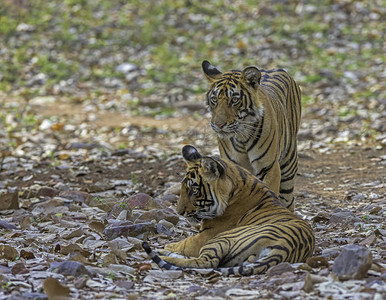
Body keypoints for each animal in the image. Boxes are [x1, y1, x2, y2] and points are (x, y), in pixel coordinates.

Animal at [143, 145, 316, 276]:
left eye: (194, 190)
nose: (179, 213)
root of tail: (284, 247)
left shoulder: (205, 236)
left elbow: (183, 243)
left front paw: (167, 247)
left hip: (222, 238)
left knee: (205, 262)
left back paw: (164, 255)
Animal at [202, 60, 302, 211]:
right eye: (214, 99)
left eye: (234, 100)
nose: (218, 125)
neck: (241, 136)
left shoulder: (269, 168)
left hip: (288, 167)